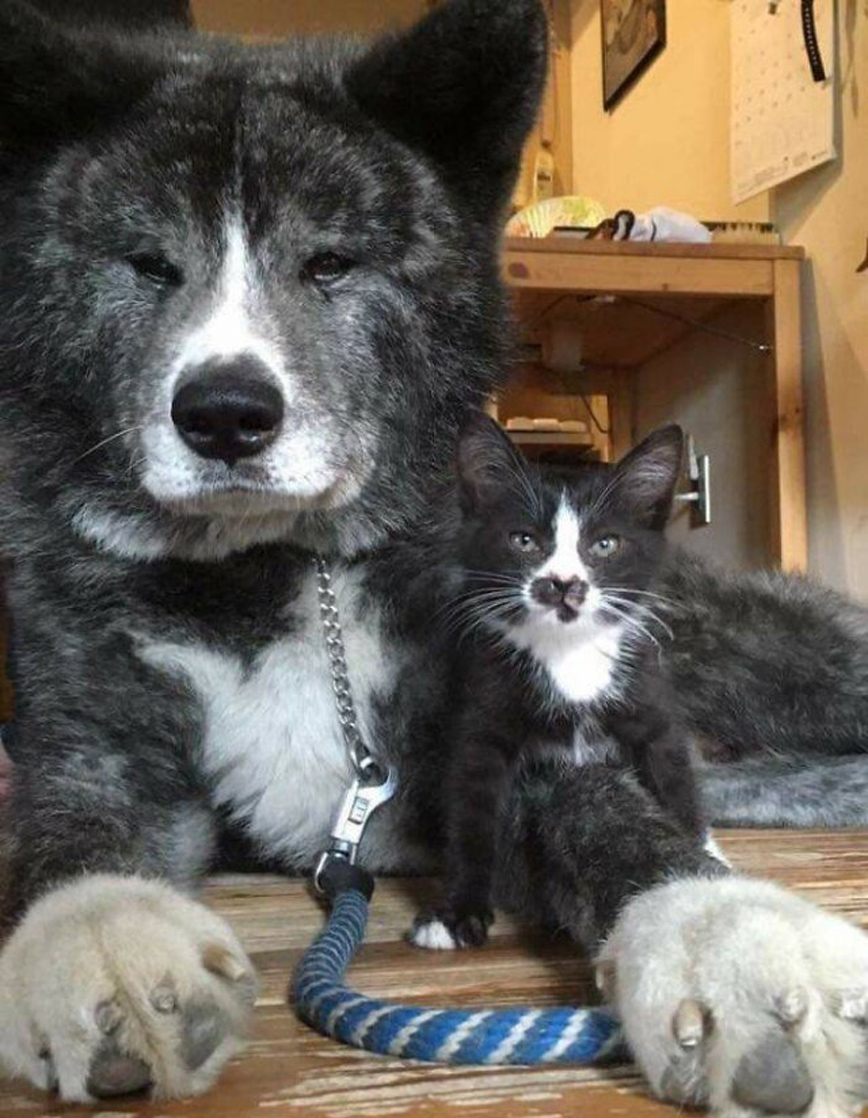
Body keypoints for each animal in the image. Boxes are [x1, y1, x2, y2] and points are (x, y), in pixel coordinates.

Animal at [412, 414, 703, 950]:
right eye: (524, 540)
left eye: (604, 544)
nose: (564, 583)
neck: (570, 655)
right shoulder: (483, 711)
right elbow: (471, 812)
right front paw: (459, 910)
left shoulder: (649, 700)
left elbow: (675, 785)